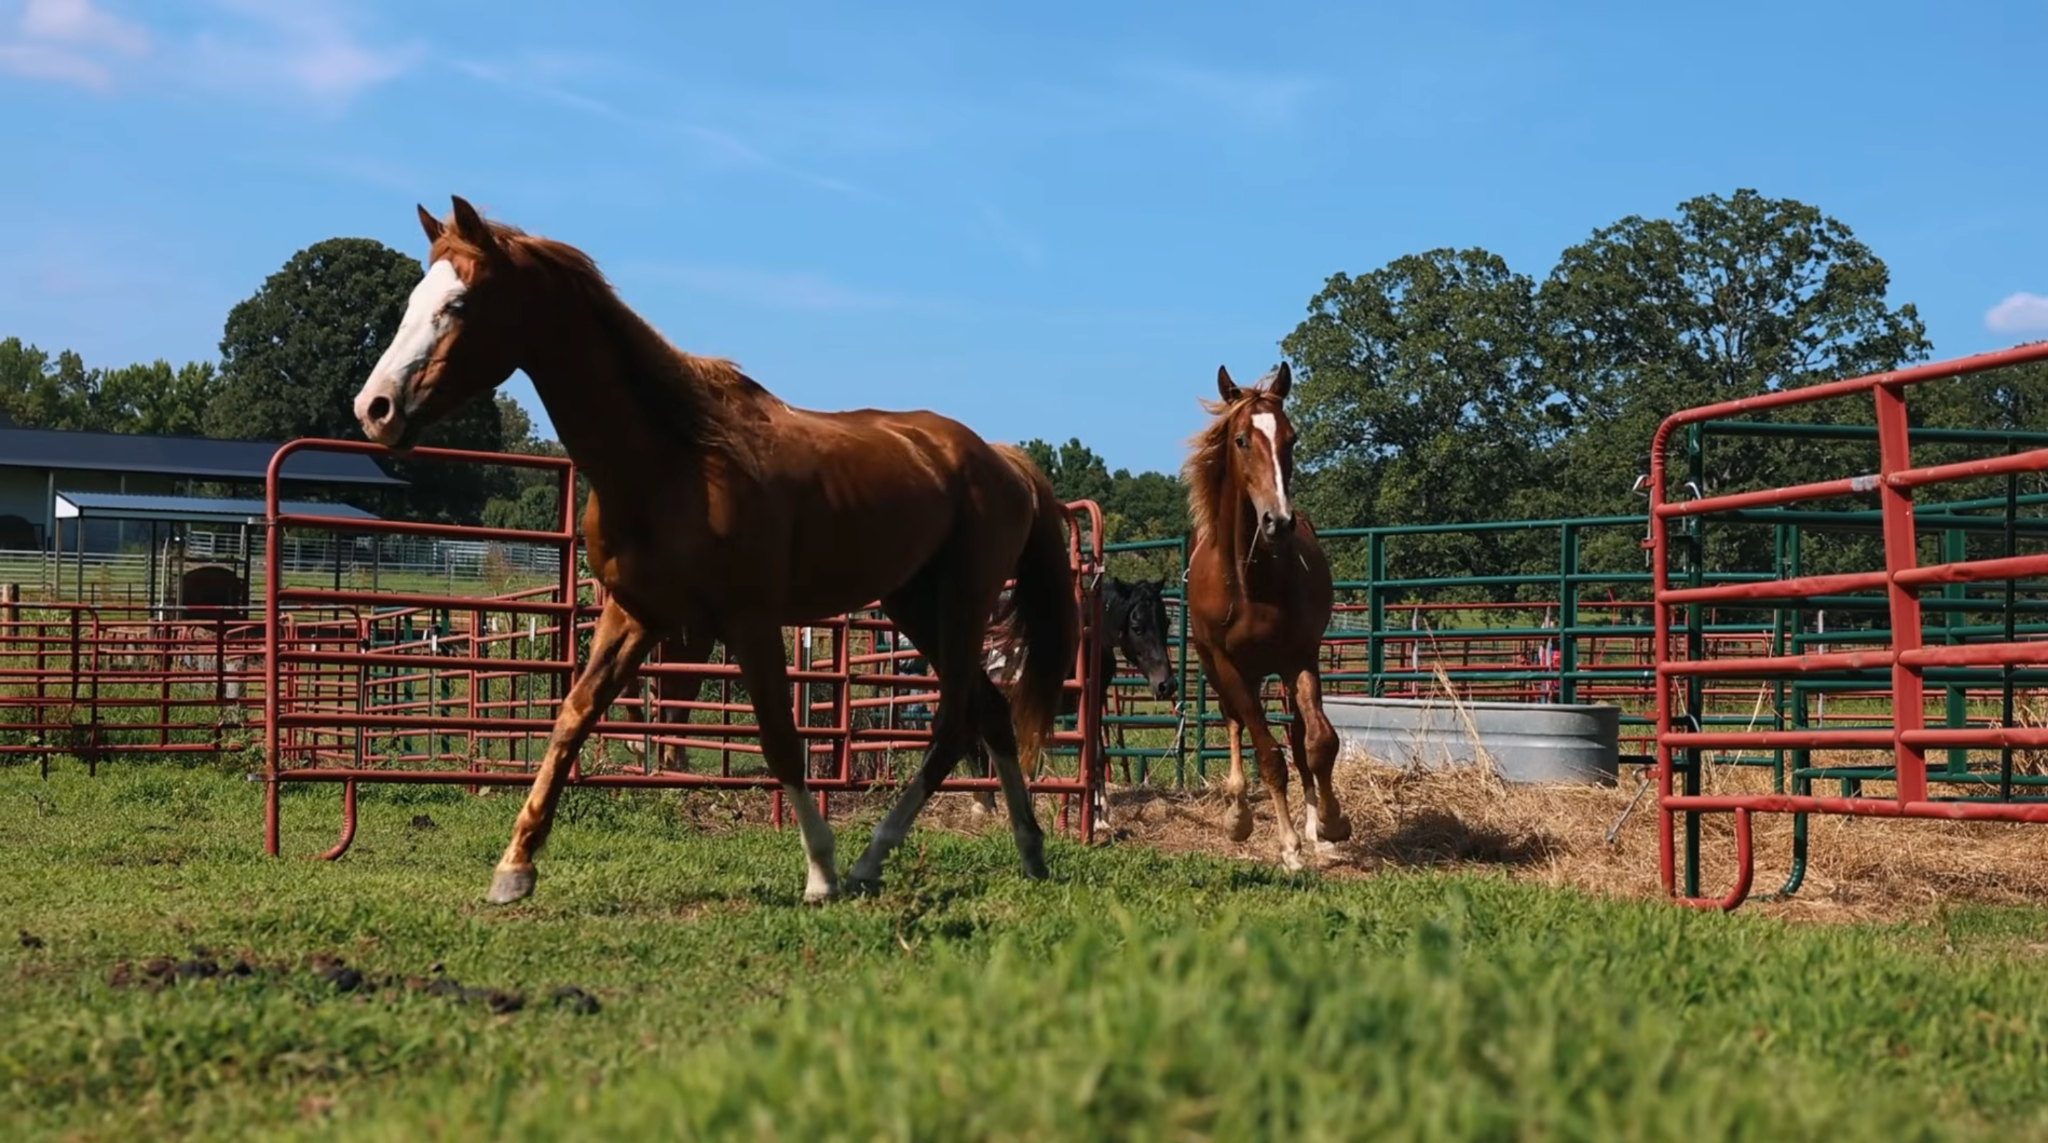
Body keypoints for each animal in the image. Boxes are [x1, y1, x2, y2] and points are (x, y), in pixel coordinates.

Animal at [350, 196, 1079, 906]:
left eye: (459, 303)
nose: (373, 408)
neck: (672, 461)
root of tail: (1003, 460)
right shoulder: (634, 616)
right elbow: (572, 719)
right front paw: (515, 867)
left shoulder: (750, 622)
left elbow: (780, 738)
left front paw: (820, 873)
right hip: (912, 603)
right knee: (989, 709)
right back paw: (1027, 852)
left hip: (962, 602)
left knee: (955, 720)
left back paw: (871, 858)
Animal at [1181, 362, 1352, 871]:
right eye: (1240, 439)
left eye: (1291, 438)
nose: (1278, 522)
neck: (1250, 582)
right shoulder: (1230, 668)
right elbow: (1268, 754)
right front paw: (1288, 847)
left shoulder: (1300, 656)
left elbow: (1318, 744)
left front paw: (1330, 825)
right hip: (1225, 672)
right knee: (1235, 723)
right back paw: (1239, 816)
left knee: (1299, 735)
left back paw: (1315, 828)